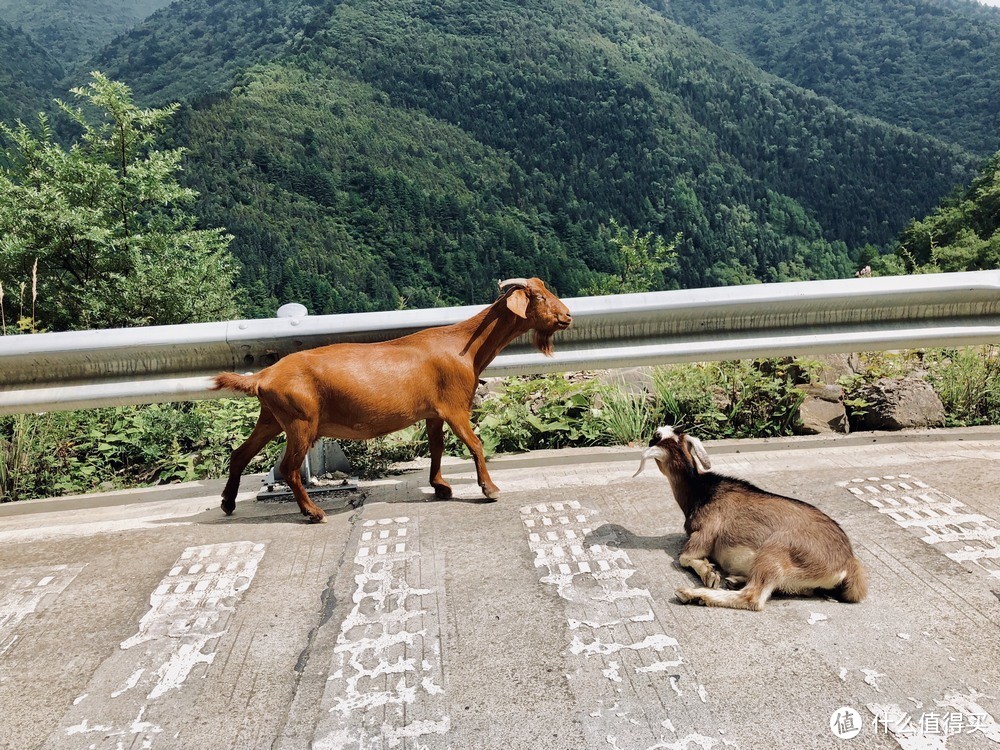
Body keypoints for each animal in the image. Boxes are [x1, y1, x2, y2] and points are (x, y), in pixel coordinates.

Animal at [211, 278, 572, 524]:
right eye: (539, 296)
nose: (568, 316)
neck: (464, 346)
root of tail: (263, 376)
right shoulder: (455, 406)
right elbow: (475, 444)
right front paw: (490, 489)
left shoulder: (433, 411)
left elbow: (437, 448)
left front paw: (440, 486)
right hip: (301, 421)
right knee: (288, 468)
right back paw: (313, 512)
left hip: (272, 417)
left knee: (240, 454)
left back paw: (228, 503)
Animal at [636, 426, 864, 612]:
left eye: (655, 437)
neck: (702, 490)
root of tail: (848, 564)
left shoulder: (705, 533)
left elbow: (683, 557)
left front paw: (709, 573)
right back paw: (735, 580)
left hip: (775, 550)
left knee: (752, 596)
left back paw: (694, 595)